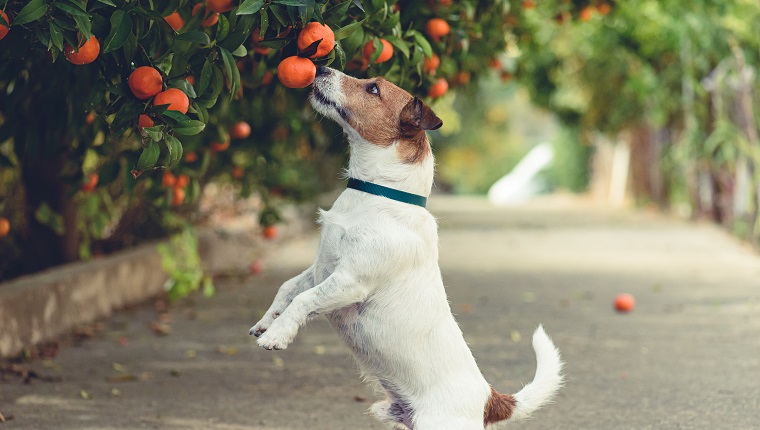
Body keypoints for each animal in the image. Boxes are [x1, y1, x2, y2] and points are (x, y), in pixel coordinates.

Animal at [251, 67, 564, 430]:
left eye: (373, 89)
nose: (322, 68)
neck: (377, 194)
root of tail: (488, 399)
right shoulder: (320, 268)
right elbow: (288, 289)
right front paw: (267, 322)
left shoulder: (348, 282)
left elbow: (303, 301)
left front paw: (277, 335)